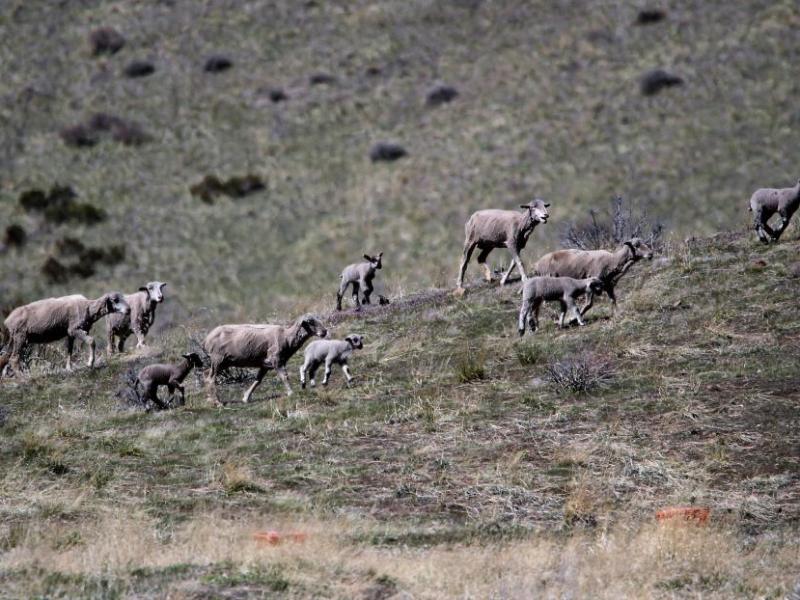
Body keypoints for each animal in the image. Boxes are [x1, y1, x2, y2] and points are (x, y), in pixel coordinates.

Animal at [0, 292, 130, 379]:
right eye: (115, 300)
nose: (129, 309)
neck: (88, 308)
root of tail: (7, 321)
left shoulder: (70, 333)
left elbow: (69, 351)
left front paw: (69, 368)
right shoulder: (74, 329)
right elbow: (91, 341)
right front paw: (90, 363)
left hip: (15, 340)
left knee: (5, 358)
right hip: (20, 337)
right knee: (14, 358)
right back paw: (23, 377)